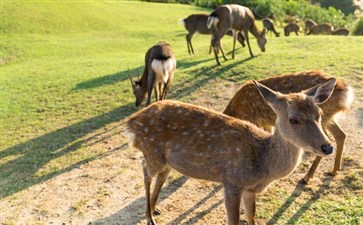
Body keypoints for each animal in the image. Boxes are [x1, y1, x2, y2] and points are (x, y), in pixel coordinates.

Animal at [126, 78, 338, 225]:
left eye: (319, 115)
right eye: (293, 119)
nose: (327, 147)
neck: (263, 164)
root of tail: (131, 122)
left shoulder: (250, 190)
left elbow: (251, 217)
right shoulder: (232, 181)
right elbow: (233, 220)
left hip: (167, 160)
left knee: (161, 174)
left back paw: (155, 208)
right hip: (152, 151)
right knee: (145, 170)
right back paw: (149, 217)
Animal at [225, 70, 356, 183]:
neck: (236, 110)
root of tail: (345, 90)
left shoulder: (253, 120)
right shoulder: (266, 123)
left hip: (325, 118)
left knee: (330, 138)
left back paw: (307, 177)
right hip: (329, 117)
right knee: (341, 135)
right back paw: (334, 170)